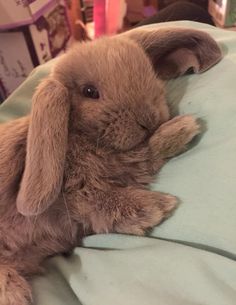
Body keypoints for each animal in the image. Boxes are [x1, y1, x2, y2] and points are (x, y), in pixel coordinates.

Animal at [0, 27, 221, 302]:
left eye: (149, 70)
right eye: (89, 92)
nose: (149, 119)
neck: (78, 134)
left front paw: (175, 130)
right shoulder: (81, 194)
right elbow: (114, 194)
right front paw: (158, 206)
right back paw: (15, 293)